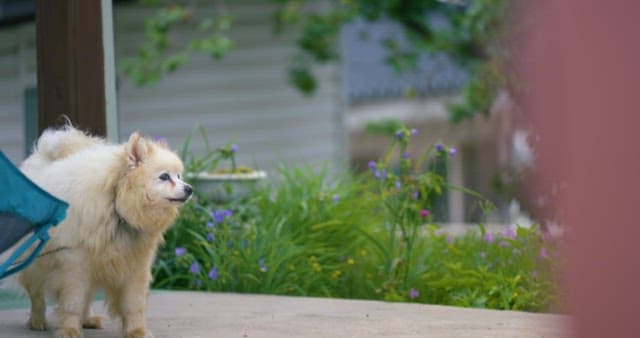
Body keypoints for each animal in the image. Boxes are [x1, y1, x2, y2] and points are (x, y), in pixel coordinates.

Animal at [17, 127, 191, 338]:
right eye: (164, 177)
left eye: (179, 176)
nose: (189, 189)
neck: (117, 207)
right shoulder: (74, 265)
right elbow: (72, 302)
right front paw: (69, 330)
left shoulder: (135, 267)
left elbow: (134, 304)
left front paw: (137, 330)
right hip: (37, 262)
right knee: (36, 294)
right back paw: (37, 320)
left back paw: (88, 319)